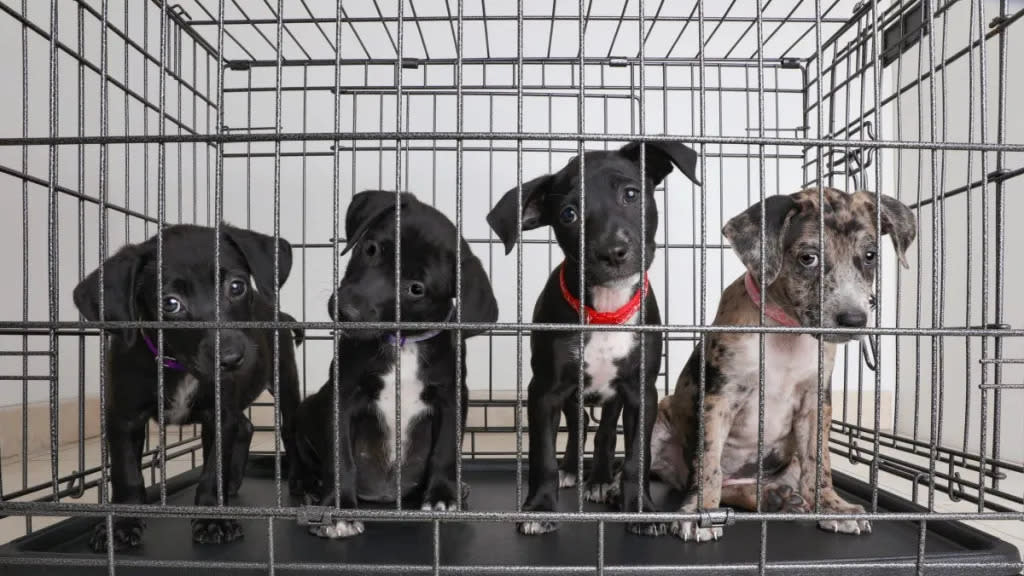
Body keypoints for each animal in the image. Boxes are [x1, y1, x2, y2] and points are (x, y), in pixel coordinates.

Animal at [74, 223, 301, 545]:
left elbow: (212, 470)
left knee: (288, 429)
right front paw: (121, 524)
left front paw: (212, 519)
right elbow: (126, 474)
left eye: (236, 286)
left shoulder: (220, 415)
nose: (232, 358)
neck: (179, 366)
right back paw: (233, 483)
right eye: (170, 303)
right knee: (245, 426)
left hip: (285, 380)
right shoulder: (123, 419)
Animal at [294, 190, 497, 537]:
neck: (400, 342)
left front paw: (443, 497)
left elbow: (446, 450)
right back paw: (310, 489)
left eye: (416, 288)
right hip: (306, 411)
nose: (348, 311)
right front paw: (339, 510)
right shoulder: (342, 394)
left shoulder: (451, 397)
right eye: (371, 248)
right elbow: (341, 456)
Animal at [655, 187, 921, 537]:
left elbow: (820, 464)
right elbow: (709, 462)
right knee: (710, 480)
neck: (785, 329)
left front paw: (833, 507)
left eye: (870, 255)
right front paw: (700, 513)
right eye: (808, 258)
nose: (854, 319)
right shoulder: (719, 398)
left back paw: (777, 499)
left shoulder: (815, 403)